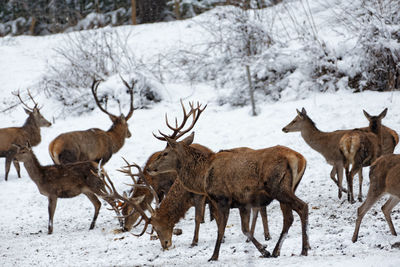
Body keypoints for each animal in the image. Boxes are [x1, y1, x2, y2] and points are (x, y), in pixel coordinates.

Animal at [145, 132, 310, 262]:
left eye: (164, 153)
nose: (148, 168)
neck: (202, 177)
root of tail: (300, 158)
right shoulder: (243, 203)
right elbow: (245, 230)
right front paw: (264, 250)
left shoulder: (222, 199)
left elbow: (221, 229)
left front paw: (214, 256)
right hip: (288, 189)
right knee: (289, 218)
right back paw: (278, 251)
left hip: (279, 188)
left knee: (302, 207)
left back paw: (303, 249)